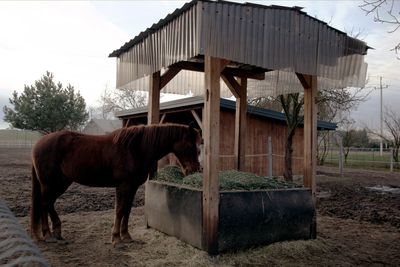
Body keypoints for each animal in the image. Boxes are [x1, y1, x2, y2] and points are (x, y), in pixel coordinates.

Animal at [30, 123, 203, 245]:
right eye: (190, 146)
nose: (194, 169)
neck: (135, 149)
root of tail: (38, 143)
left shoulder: (132, 187)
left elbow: (127, 210)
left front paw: (126, 236)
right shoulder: (123, 186)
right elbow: (119, 210)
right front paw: (116, 239)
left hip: (61, 182)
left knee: (48, 204)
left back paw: (56, 232)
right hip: (50, 183)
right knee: (44, 204)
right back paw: (48, 235)